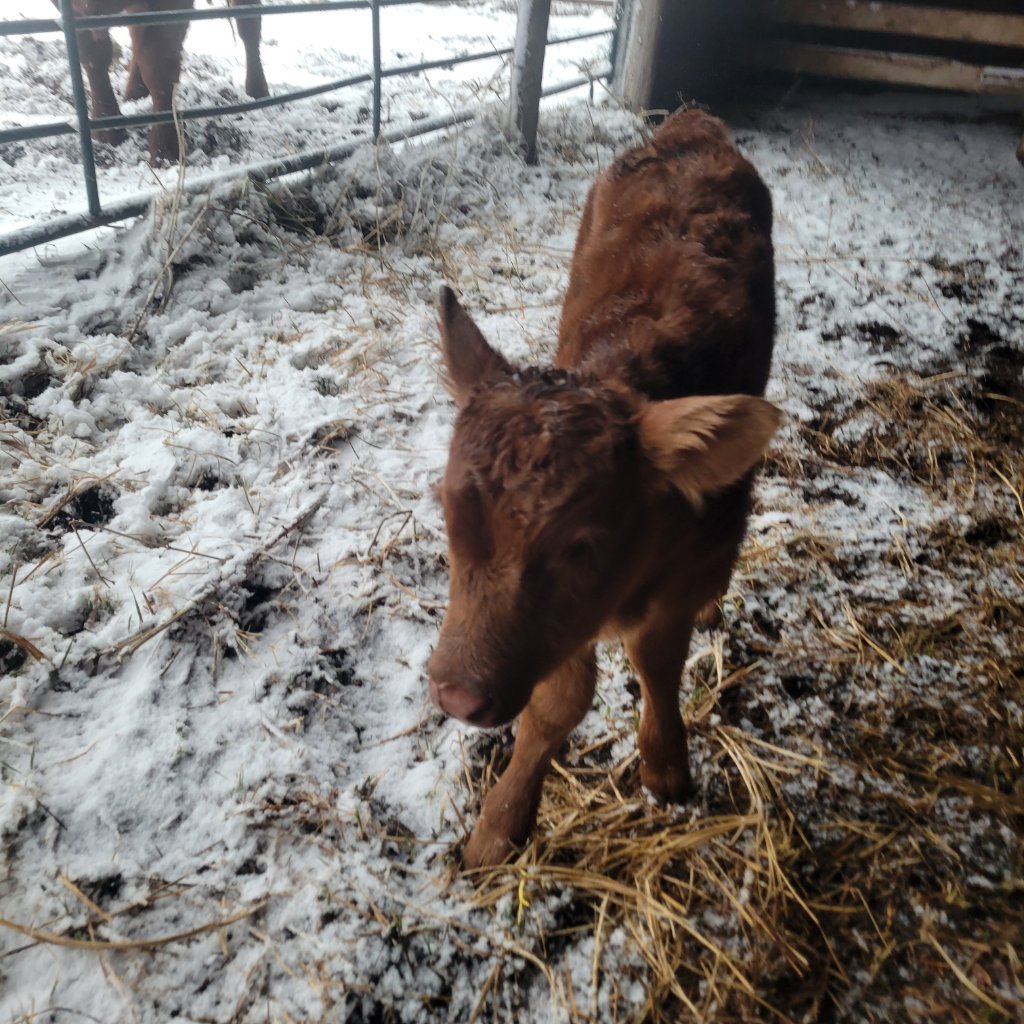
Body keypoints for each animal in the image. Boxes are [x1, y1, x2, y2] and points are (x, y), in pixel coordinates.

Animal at [58, 0, 268, 163]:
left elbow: (157, 65)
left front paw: (165, 152)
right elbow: (92, 55)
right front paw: (106, 127)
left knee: (249, 23)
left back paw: (258, 91)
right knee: (136, 33)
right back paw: (134, 94)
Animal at [427, 109, 781, 868]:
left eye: (580, 545)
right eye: (447, 515)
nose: (456, 695)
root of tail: (692, 121)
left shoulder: (683, 574)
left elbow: (658, 662)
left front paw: (666, 765)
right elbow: (560, 700)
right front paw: (501, 821)